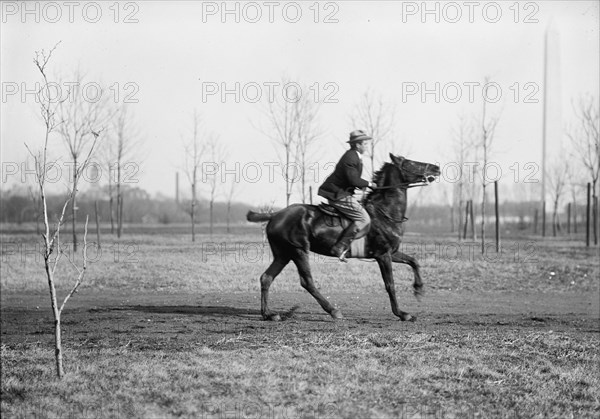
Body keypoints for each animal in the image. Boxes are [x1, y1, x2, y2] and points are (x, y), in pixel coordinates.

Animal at [246, 154, 438, 322]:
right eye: (411, 163)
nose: (436, 168)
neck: (384, 213)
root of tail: (275, 215)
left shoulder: (392, 253)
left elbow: (414, 261)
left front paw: (419, 289)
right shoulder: (383, 255)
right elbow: (390, 285)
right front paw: (402, 313)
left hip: (283, 254)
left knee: (266, 278)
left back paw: (268, 314)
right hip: (298, 251)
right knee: (307, 282)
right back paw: (333, 311)